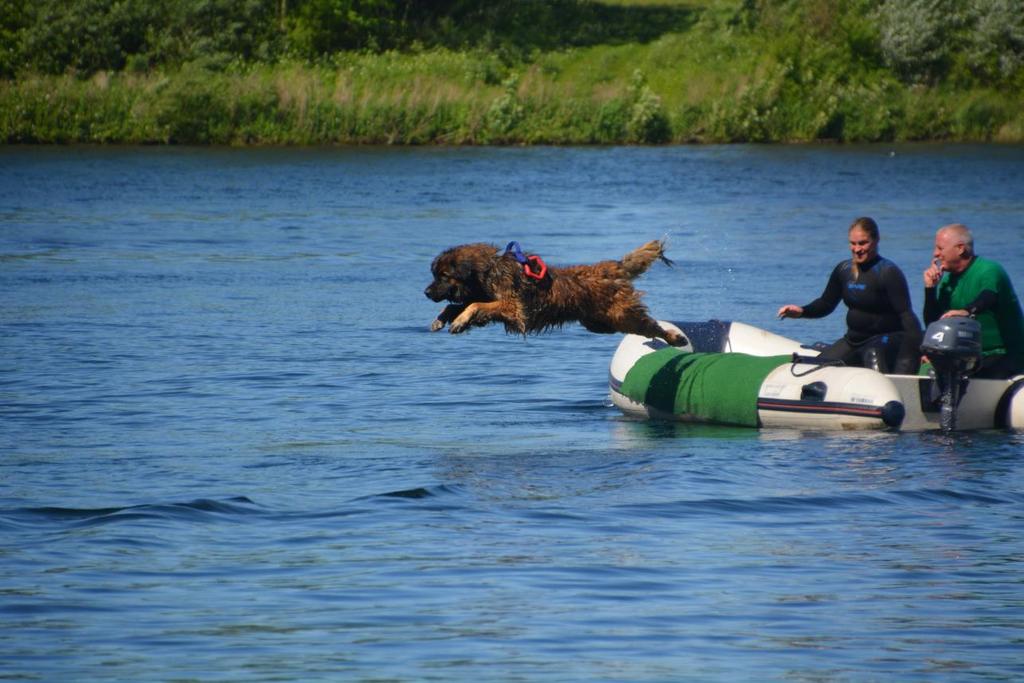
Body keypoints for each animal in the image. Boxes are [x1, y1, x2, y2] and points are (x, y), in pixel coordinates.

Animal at [423, 240, 688, 348]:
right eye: (435, 274)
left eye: (443, 276)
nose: (426, 292)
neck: (489, 271)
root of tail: (611, 267)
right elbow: (459, 304)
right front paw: (442, 318)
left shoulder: (513, 308)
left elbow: (474, 305)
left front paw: (459, 321)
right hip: (602, 323)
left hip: (622, 315)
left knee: (652, 326)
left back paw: (675, 338)